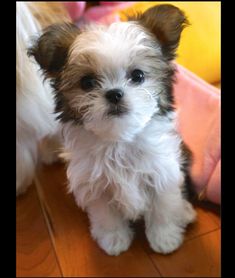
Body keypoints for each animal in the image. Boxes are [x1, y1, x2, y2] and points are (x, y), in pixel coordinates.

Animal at [28, 4, 196, 256]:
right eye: (87, 82)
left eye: (138, 76)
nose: (114, 93)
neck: (119, 141)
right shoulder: (95, 185)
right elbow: (106, 215)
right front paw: (114, 239)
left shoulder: (162, 171)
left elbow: (163, 205)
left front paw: (165, 238)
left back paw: (184, 211)